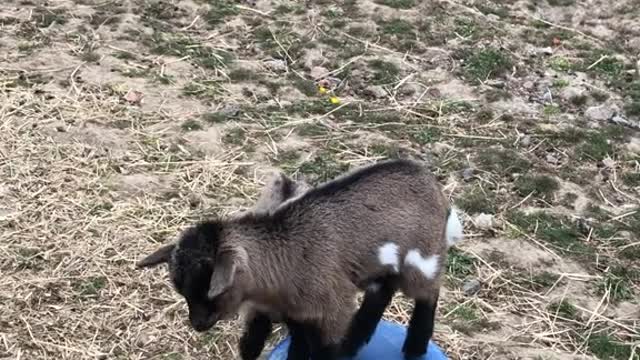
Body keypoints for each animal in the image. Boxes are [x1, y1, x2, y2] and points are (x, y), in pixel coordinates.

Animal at [140, 160, 462, 360]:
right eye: (182, 291)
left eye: (211, 289)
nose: (197, 324)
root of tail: (431, 181)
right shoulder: (292, 312)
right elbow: (266, 345)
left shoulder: (332, 308)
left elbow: (321, 351)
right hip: (381, 265)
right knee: (381, 292)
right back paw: (354, 343)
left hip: (423, 258)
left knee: (427, 293)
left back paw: (414, 347)